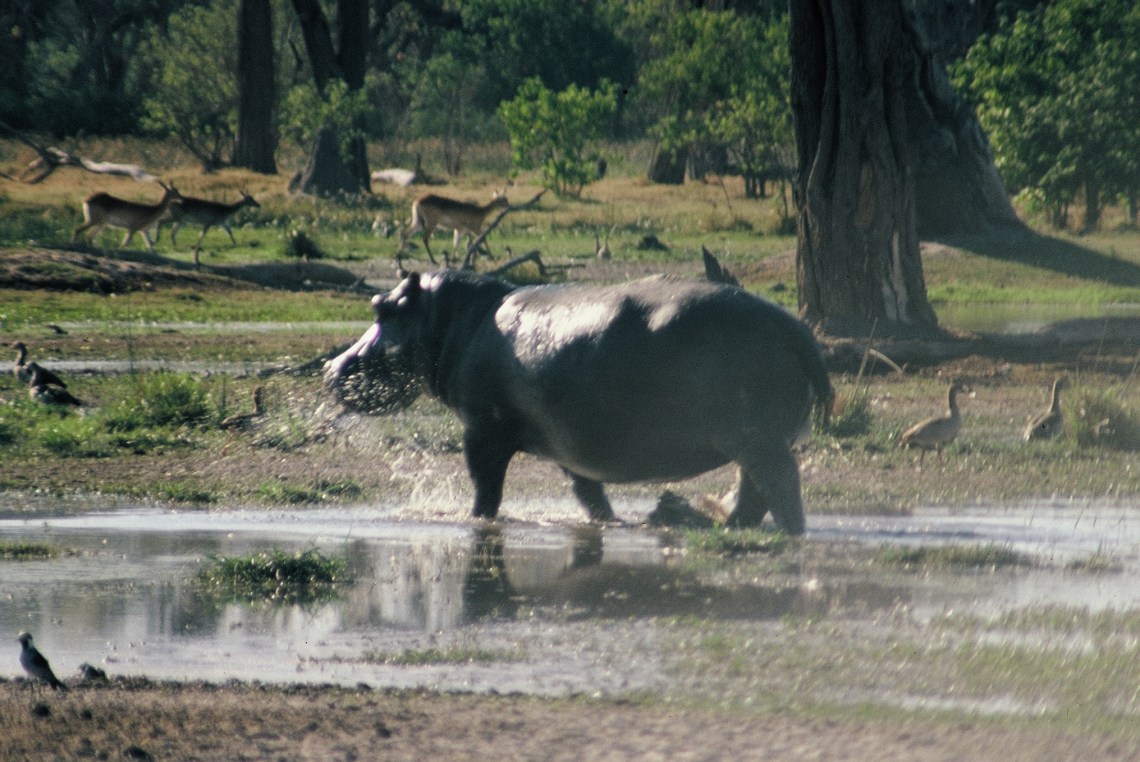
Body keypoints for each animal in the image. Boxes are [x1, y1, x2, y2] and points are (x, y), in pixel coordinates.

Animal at [324, 270, 832, 534]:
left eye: (381, 307)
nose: (331, 368)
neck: (451, 320)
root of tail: (795, 328)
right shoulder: (567, 445)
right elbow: (588, 493)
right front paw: (610, 522)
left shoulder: (481, 431)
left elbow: (486, 487)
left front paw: (477, 521)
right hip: (755, 439)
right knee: (754, 492)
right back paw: (725, 526)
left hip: (758, 439)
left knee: (780, 487)